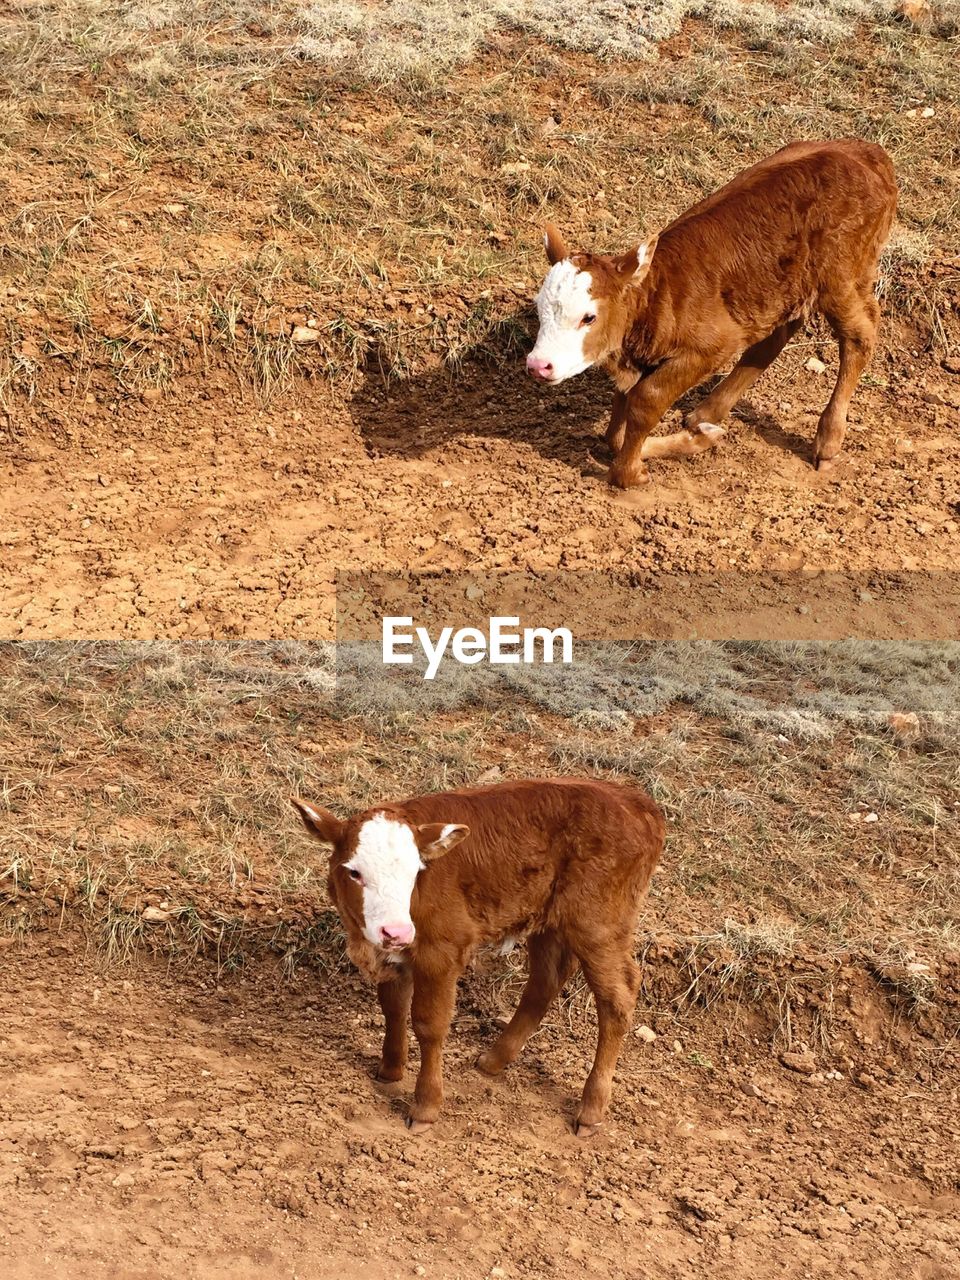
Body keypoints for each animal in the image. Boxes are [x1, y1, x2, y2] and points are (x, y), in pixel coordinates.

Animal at [293, 773, 665, 1136]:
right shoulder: (393, 953)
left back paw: (590, 1109)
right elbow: (393, 1007)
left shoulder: (442, 950)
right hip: (550, 921)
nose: (396, 931)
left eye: (415, 872)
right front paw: (390, 1069)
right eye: (354, 871)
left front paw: (425, 1106)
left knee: (617, 999)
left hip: (599, 926)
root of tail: (635, 801)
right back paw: (493, 1060)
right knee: (546, 980)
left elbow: (429, 1024)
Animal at [529, 138, 901, 488]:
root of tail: (866, 152)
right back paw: (706, 414)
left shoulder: (712, 346)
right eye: (539, 309)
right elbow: (615, 433)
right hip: (783, 286)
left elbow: (645, 401)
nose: (538, 365)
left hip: (842, 277)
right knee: (774, 337)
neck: (659, 294)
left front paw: (631, 473)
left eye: (588, 316)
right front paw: (694, 438)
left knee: (859, 336)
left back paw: (827, 440)